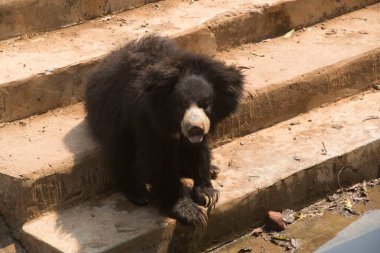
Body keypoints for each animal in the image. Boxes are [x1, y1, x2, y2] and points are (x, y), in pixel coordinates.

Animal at [85, 35, 243, 227]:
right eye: (181, 104)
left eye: (205, 104)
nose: (195, 128)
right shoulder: (147, 119)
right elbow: (159, 161)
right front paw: (191, 212)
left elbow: (198, 150)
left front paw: (207, 193)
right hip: (113, 124)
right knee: (123, 153)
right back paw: (138, 193)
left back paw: (213, 169)